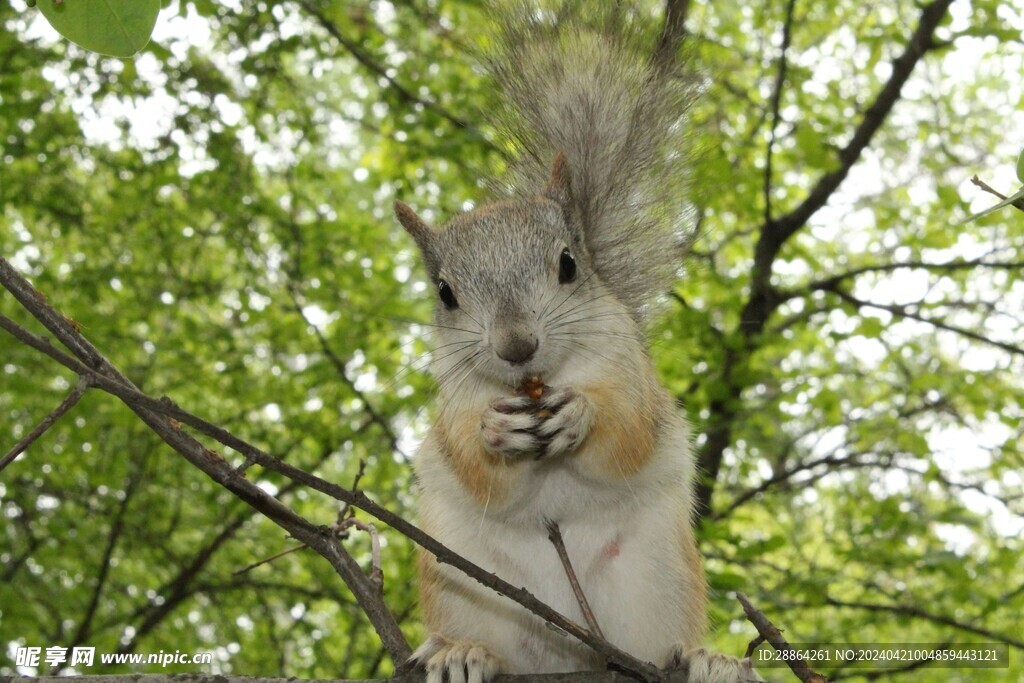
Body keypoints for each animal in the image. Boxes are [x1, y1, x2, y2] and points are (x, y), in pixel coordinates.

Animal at [391, 3, 761, 683]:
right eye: (445, 294)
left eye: (568, 264)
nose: (516, 346)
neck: (539, 383)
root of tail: (566, 647)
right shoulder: (452, 399)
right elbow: (472, 461)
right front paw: (495, 432)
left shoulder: (631, 373)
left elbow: (626, 434)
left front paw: (582, 415)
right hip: (458, 577)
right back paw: (461, 652)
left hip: (655, 574)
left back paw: (705, 658)